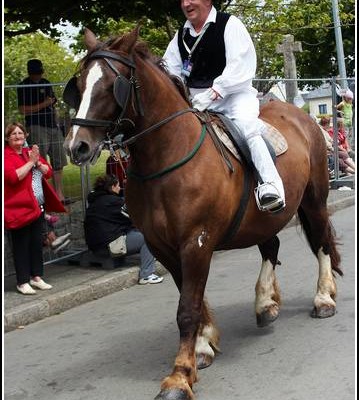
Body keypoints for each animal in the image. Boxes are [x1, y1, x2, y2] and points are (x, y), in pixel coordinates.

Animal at [64, 28, 344, 400]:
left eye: (112, 84)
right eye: (79, 85)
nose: (76, 146)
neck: (166, 157)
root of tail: (301, 116)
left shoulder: (196, 241)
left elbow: (187, 309)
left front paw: (180, 377)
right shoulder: (163, 247)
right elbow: (191, 300)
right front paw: (202, 346)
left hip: (313, 200)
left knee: (323, 241)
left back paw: (323, 297)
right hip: (262, 219)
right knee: (271, 248)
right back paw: (265, 302)